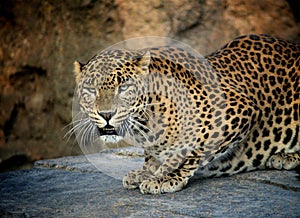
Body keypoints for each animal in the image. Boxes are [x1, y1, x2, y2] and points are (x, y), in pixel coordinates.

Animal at [72, 34, 300, 194]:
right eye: (91, 90)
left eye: (124, 87)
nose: (106, 114)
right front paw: (147, 171)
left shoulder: (236, 108)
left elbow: (191, 147)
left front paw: (164, 177)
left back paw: (285, 156)